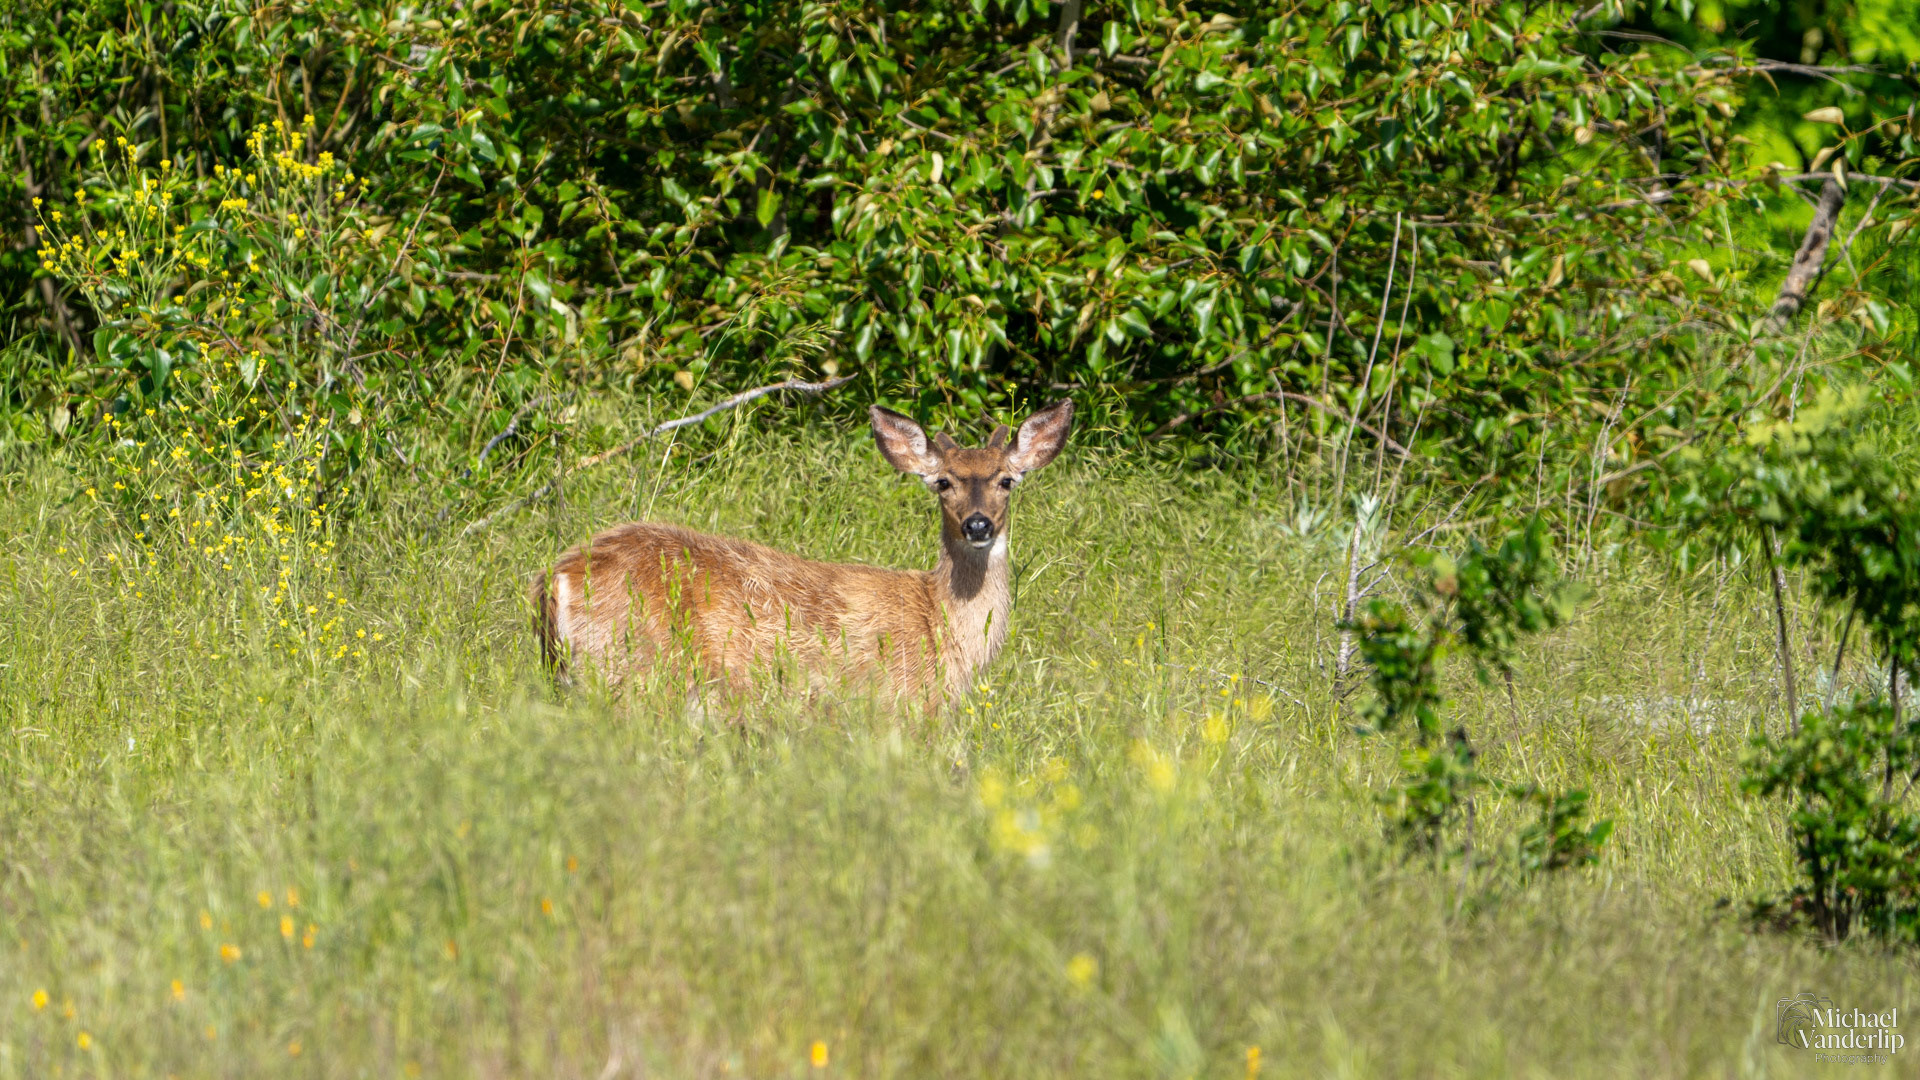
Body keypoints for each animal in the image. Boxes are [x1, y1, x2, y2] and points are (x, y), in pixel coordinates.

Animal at [530, 400, 1073, 707]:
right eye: (943, 482)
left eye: (1007, 480)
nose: (977, 524)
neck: (940, 623)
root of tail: (557, 577)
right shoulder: (902, 707)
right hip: (632, 671)